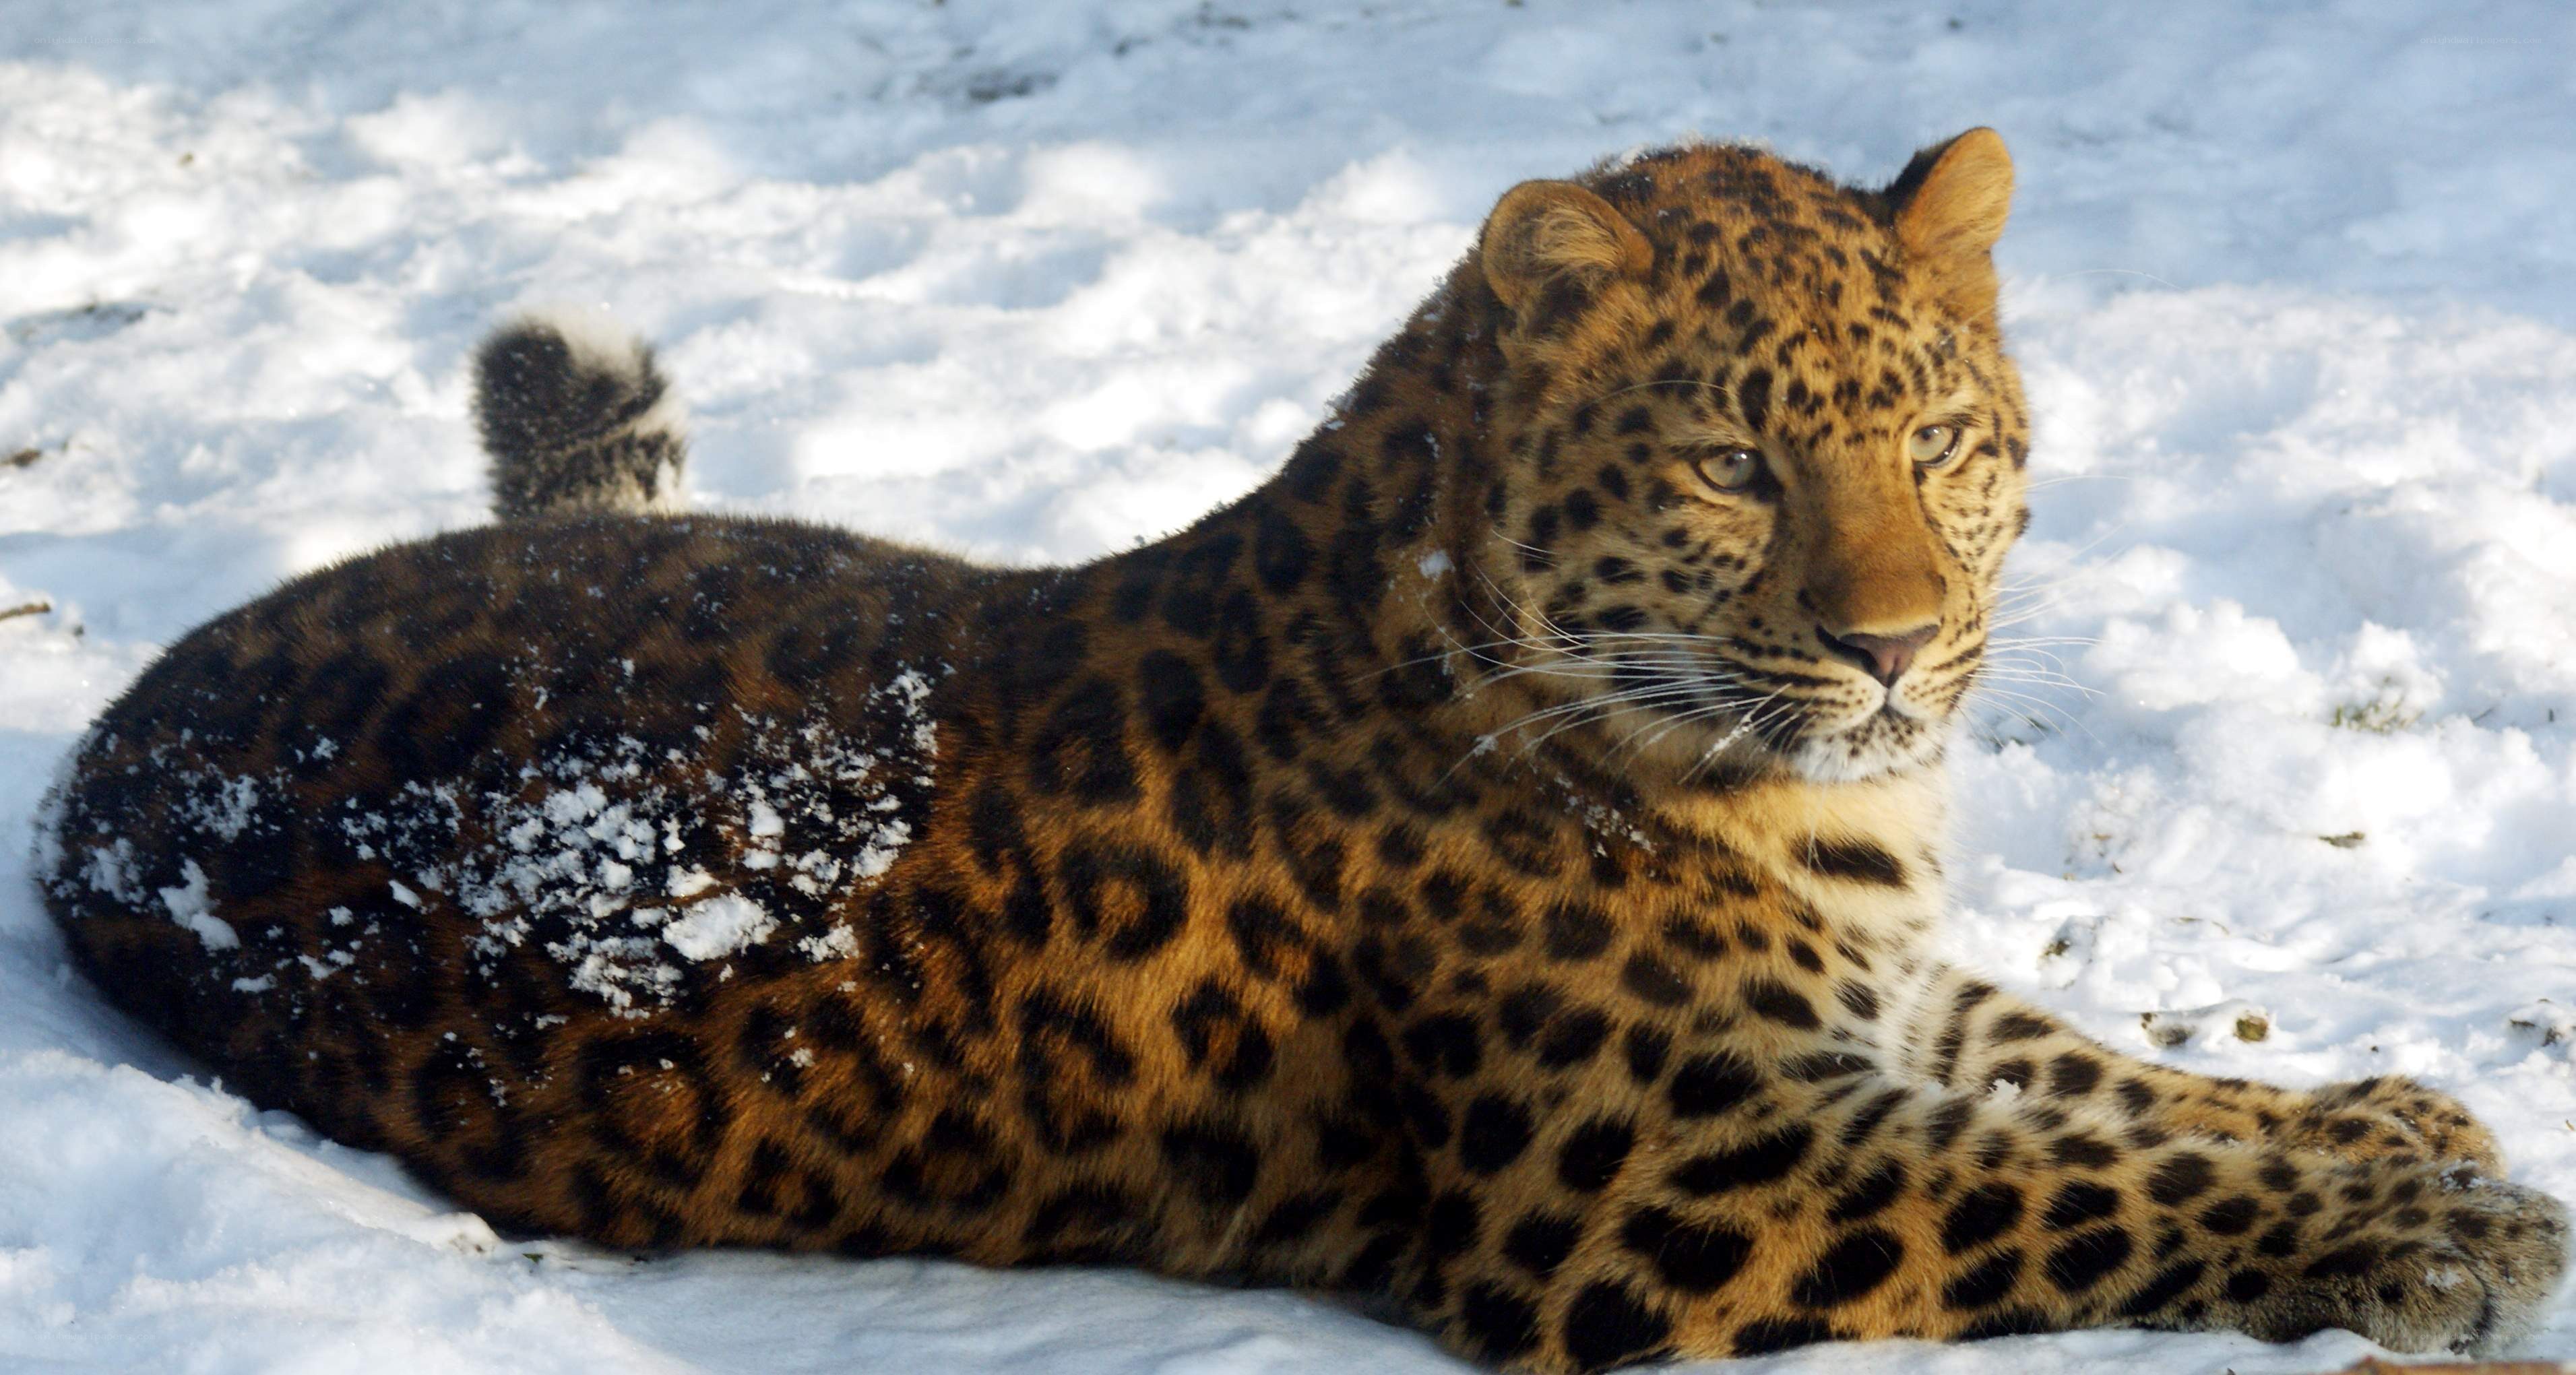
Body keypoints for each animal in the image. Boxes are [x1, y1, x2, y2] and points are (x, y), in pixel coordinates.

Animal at [34, 129, 2568, 1372]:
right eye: (1732, 466)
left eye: (1940, 443)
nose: (1894, 650)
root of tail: (109, 756)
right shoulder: (1684, 1183)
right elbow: (2082, 1184)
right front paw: (2444, 1227)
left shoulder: (1853, 1013)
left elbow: (2082, 1074)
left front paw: (2395, 1122)